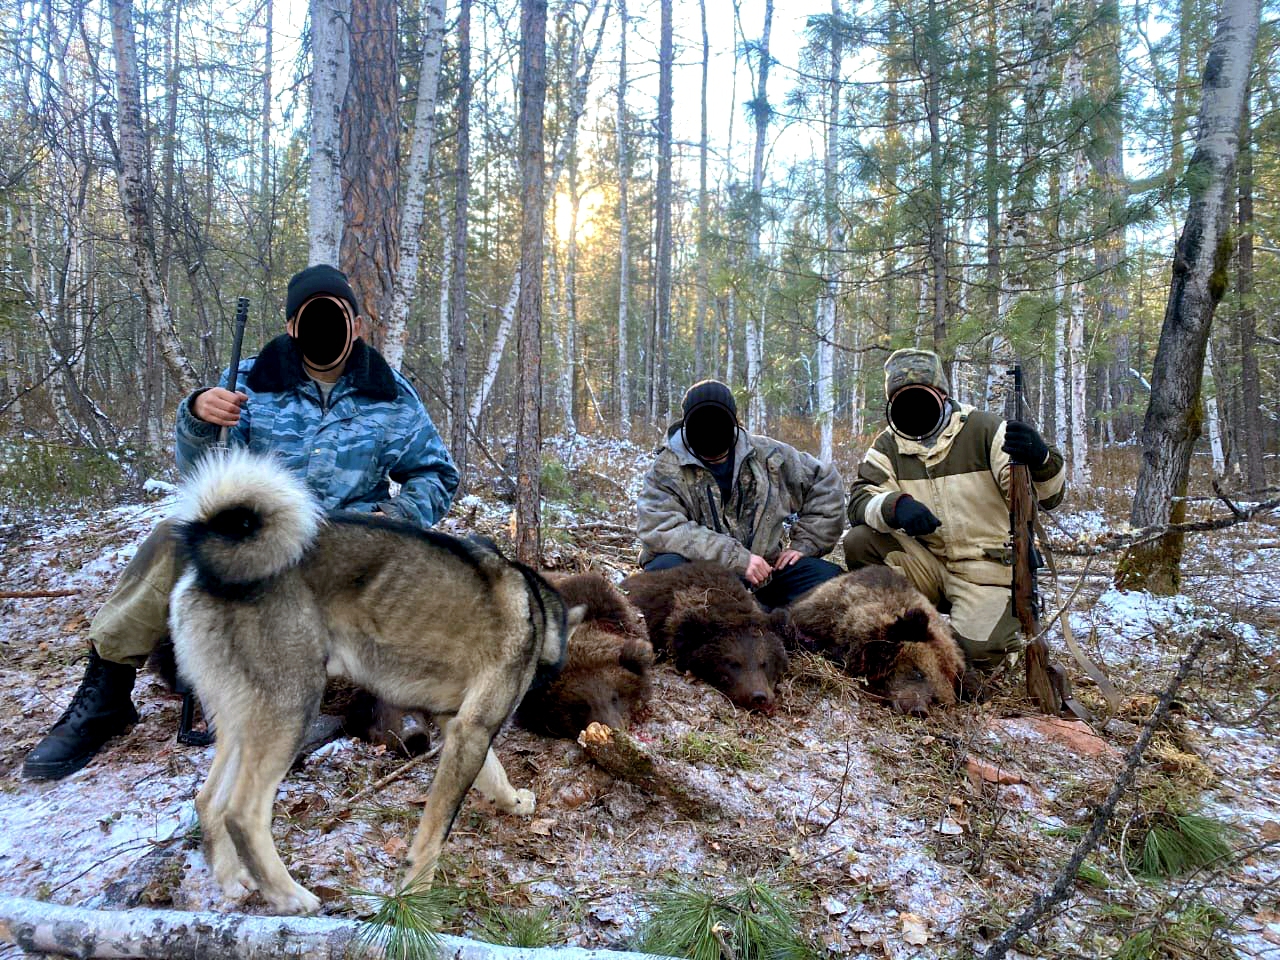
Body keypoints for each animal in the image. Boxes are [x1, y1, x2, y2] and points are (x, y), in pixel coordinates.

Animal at [167, 450, 583, 916]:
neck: (537, 612)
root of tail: (207, 563)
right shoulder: (472, 731)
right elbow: (436, 827)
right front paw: (416, 893)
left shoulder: (456, 724)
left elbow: (494, 774)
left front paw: (513, 802)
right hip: (290, 711)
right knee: (241, 813)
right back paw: (289, 895)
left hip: (241, 721)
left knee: (208, 801)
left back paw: (231, 880)